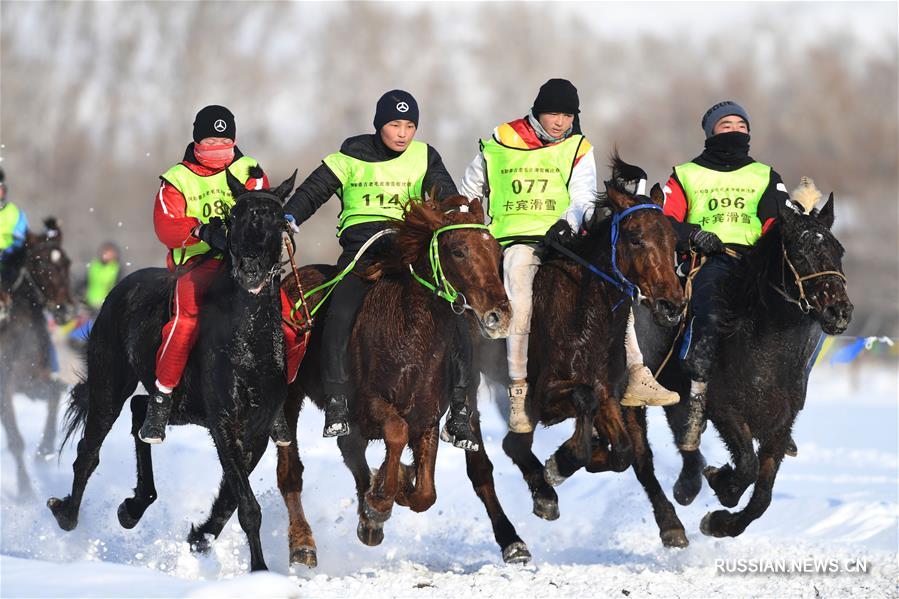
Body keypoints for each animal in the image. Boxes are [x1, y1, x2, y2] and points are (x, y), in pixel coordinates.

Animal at [0, 218, 74, 500]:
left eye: (67, 263)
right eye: (40, 263)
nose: (66, 310)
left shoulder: (36, 381)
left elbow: (55, 394)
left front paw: (44, 451)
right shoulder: (5, 388)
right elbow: (15, 440)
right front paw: (25, 491)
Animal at [49, 172, 298, 572]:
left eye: (277, 220)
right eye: (234, 218)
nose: (250, 271)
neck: (249, 341)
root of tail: (121, 288)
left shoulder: (257, 430)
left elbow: (232, 498)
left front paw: (200, 538)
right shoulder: (223, 422)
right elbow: (247, 505)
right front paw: (259, 571)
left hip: (179, 407)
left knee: (141, 415)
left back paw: (133, 507)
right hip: (109, 383)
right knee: (89, 450)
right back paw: (67, 513)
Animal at [274, 196, 536, 568]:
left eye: (495, 251)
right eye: (458, 251)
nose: (500, 316)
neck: (411, 337)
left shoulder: (428, 416)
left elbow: (426, 492)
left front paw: (394, 488)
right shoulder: (369, 407)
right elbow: (396, 433)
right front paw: (381, 501)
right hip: (291, 399)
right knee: (291, 470)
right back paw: (303, 544)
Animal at [636, 184, 856, 540]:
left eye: (839, 250)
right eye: (798, 253)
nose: (839, 311)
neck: (765, 357)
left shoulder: (781, 425)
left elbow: (762, 496)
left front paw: (720, 522)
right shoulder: (726, 410)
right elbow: (747, 467)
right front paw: (721, 484)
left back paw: (688, 486)